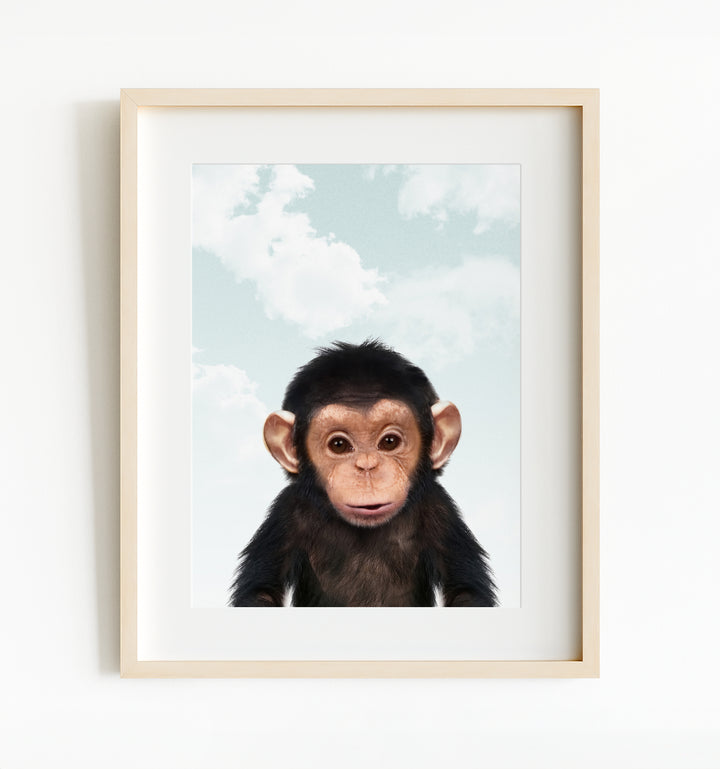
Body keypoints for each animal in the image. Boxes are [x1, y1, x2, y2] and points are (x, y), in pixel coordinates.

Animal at [229, 340, 497, 607]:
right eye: (339, 445)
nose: (367, 467)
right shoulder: (285, 512)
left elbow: (465, 590)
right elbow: (262, 591)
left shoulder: (440, 509)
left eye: (389, 442)